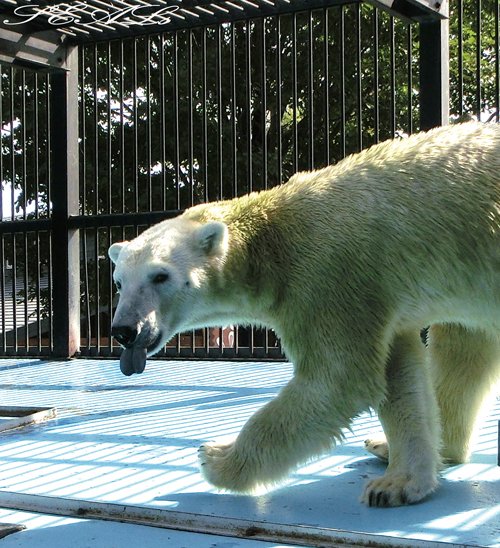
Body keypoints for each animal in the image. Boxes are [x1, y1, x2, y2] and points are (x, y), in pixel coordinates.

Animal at [107, 122, 498, 508]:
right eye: (119, 281)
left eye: (160, 276)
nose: (125, 330)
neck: (273, 241)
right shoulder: (377, 298)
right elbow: (397, 375)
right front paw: (399, 482)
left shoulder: (327, 278)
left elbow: (337, 379)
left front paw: (216, 457)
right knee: (463, 348)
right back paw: (399, 445)